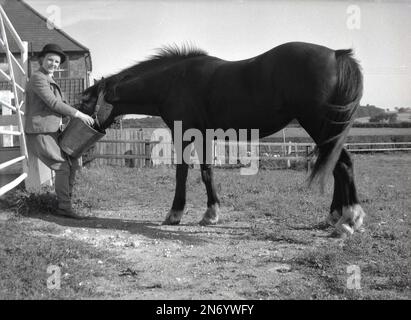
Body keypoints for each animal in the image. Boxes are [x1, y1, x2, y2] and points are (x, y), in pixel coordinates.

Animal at [79, 42, 366, 235]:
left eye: (85, 103)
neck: (172, 81)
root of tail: (337, 55)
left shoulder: (185, 134)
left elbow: (182, 172)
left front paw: (175, 214)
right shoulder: (204, 135)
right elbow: (207, 171)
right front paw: (211, 213)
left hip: (320, 127)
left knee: (343, 165)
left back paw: (349, 220)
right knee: (339, 166)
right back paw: (336, 216)